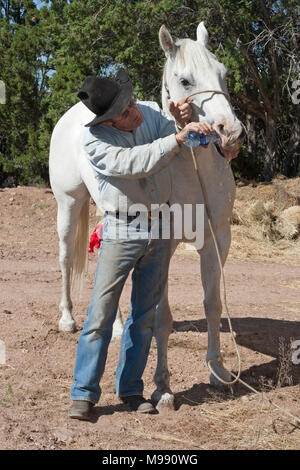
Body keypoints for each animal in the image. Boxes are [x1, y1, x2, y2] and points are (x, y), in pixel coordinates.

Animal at [49, 22, 245, 410]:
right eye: (185, 80)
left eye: (224, 74)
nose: (230, 134)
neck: (191, 170)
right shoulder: (163, 248)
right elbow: (160, 317)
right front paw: (163, 388)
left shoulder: (217, 241)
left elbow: (213, 304)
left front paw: (218, 373)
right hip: (69, 204)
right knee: (65, 258)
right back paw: (67, 319)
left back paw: (115, 328)